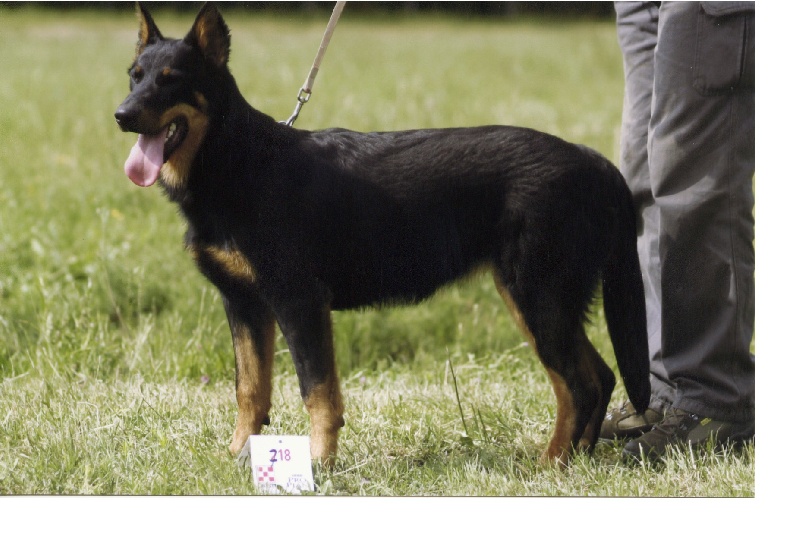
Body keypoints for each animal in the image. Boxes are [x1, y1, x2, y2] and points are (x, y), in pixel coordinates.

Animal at [115, 2, 650, 467]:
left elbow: (317, 391)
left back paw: (551, 464)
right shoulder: (245, 306)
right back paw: (576, 460)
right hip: (547, 305)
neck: (239, 161)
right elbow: (250, 389)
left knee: (578, 385)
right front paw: (238, 457)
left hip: (536, 299)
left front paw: (319, 465)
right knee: (598, 378)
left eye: (172, 81)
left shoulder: (299, 302)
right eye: (135, 76)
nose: (121, 116)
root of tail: (594, 161)